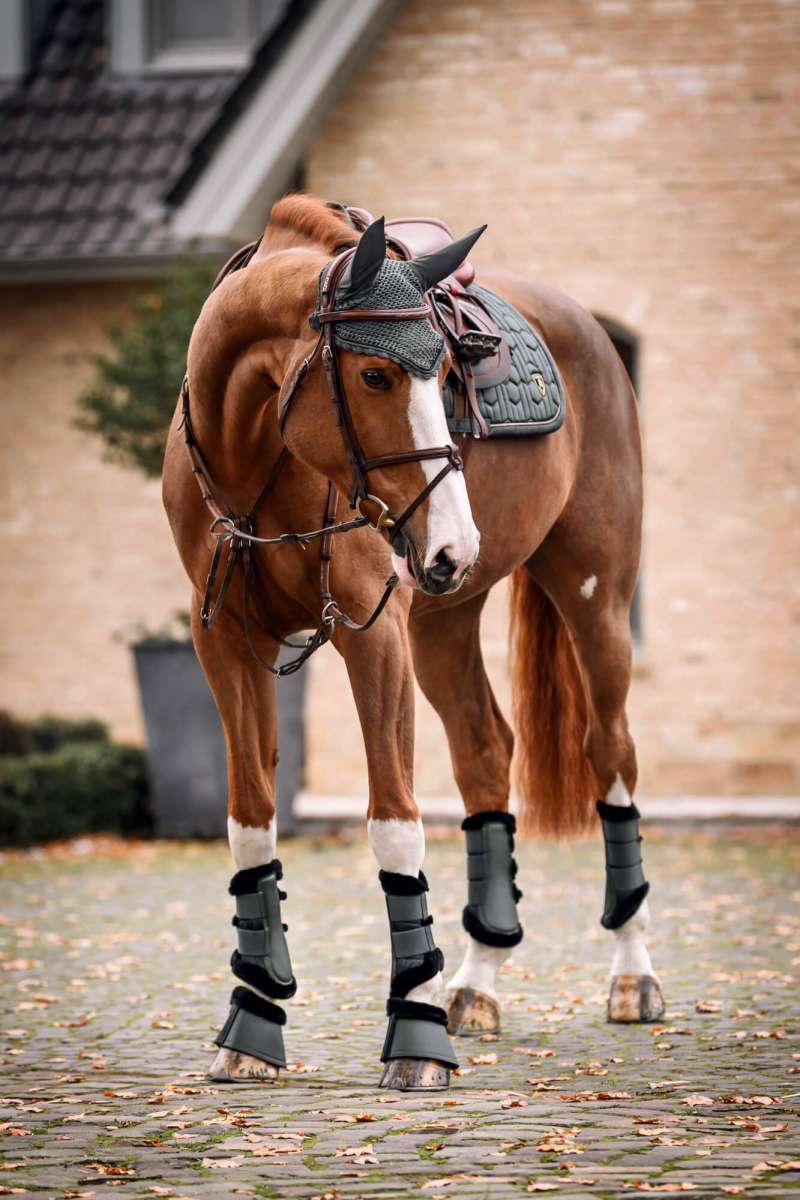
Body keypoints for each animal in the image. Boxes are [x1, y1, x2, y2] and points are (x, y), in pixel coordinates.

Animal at [162, 193, 663, 1091]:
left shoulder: (375, 635)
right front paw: (253, 1021)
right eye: (375, 374)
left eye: (448, 372)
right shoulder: (225, 640)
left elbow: (394, 824)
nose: (454, 544)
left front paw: (416, 1036)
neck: (256, 452)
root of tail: (588, 326)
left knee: (612, 756)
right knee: (485, 755)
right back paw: (475, 983)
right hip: (445, 620)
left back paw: (631, 975)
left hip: (594, 599)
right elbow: (249, 822)